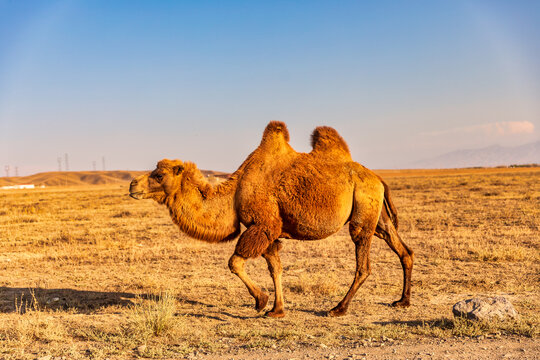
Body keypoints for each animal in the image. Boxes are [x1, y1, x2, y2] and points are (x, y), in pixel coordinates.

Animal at [130, 121, 414, 318]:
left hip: (363, 210)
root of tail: (378, 177)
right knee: (402, 249)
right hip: (377, 213)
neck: (235, 192)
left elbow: (234, 262)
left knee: (363, 262)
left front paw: (261, 301)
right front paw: (277, 309)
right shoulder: (269, 229)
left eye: (158, 174)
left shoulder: (262, 223)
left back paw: (338, 308)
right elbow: (275, 267)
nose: (133, 184)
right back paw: (403, 301)